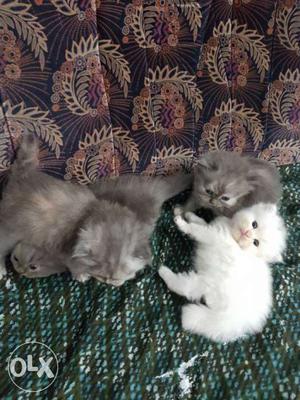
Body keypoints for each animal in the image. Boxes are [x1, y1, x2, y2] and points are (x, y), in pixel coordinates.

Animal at [158, 205, 288, 342]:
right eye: (254, 224)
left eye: (256, 242)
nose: (247, 233)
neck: (231, 232)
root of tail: (234, 320)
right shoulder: (214, 227)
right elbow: (201, 221)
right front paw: (189, 215)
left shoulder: (210, 234)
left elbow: (195, 228)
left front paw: (181, 223)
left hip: (206, 281)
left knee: (184, 288)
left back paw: (163, 271)